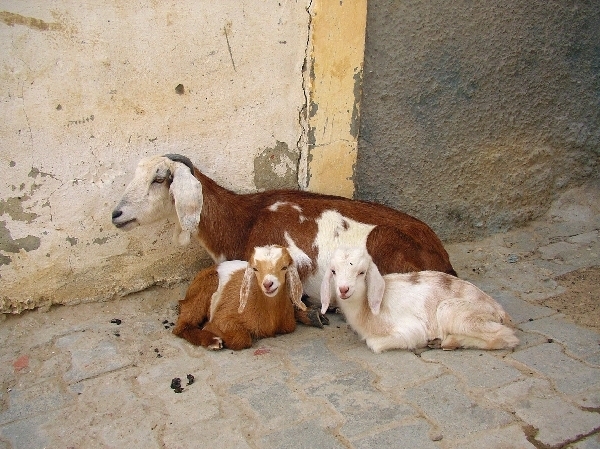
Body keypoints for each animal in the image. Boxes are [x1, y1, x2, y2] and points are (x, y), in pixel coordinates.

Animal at [172, 245, 306, 350]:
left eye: (284, 267)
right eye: (255, 269)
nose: (268, 284)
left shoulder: (289, 325)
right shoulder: (224, 317)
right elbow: (242, 338)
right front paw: (209, 327)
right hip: (206, 285)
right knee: (182, 326)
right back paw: (212, 341)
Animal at [320, 247, 519, 353]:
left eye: (361, 273)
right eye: (334, 271)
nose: (343, 289)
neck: (366, 308)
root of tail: (500, 311)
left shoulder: (411, 329)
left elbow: (374, 343)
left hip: (454, 311)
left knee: (505, 337)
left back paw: (447, 342)